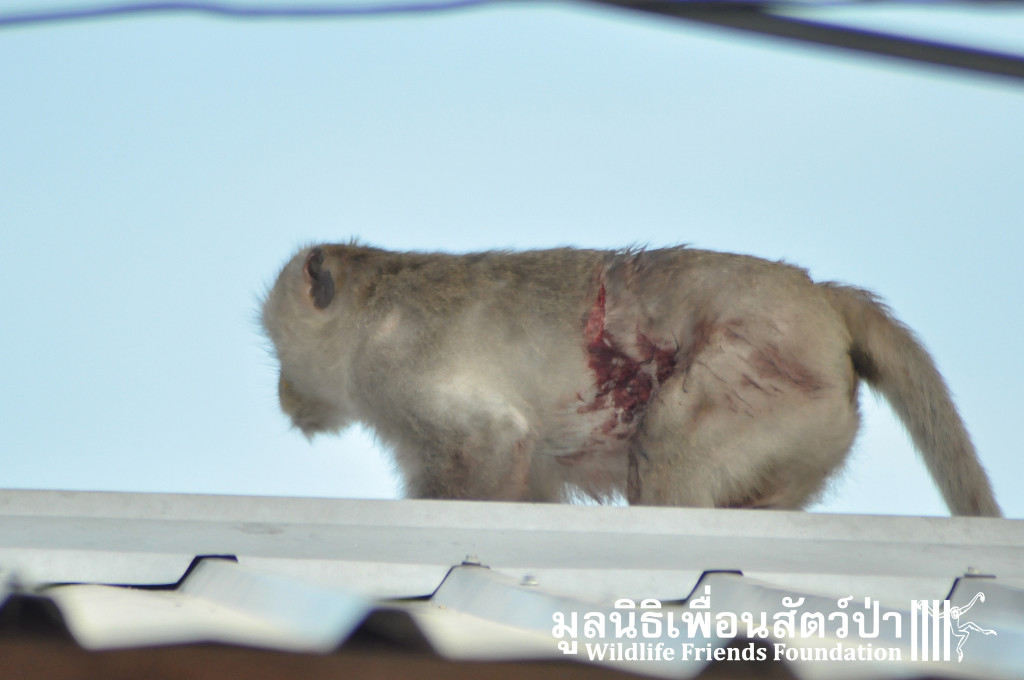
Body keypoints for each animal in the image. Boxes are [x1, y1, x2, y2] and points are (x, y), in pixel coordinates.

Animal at [261, 243, 1001, 517]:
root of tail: (818, 294)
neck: (367, 307)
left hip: (765, 369)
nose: (283, 393)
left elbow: (489, 440)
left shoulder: (393, 365)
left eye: (276, 347)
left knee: (669, 448)